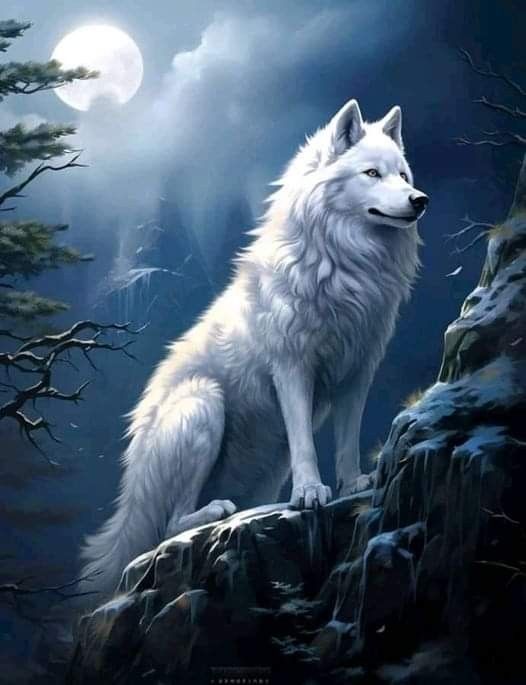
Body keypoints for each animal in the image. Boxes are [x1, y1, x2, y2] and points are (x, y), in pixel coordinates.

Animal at [82, 99, 428, 595]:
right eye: (371, 174)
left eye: (403, 174)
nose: (420, 201)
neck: (346, 266)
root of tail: (131, 486)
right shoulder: (292, 368)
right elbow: (308, 444)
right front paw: (310, 493)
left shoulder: (357, 374)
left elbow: (346, 441)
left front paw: (352, 484)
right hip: (203, 404)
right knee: (170, 524)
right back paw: (215, 511)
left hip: (268, 457)